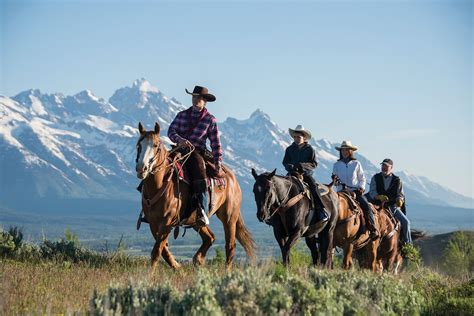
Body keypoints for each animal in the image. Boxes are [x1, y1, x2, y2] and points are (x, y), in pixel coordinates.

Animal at [135, 122, 256, 270]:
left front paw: (150, 273)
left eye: (156, 145)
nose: (142, 168)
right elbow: (163, 250)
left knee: (230, 245)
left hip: (229, 217)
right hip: (195, 220)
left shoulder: (167, 222)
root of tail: (232, 176)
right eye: (139, 145)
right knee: (210, 237)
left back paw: (226, 271)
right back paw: (198, 259)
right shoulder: (153, 222)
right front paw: (177, 267)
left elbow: (157, 250)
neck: (160, 184)